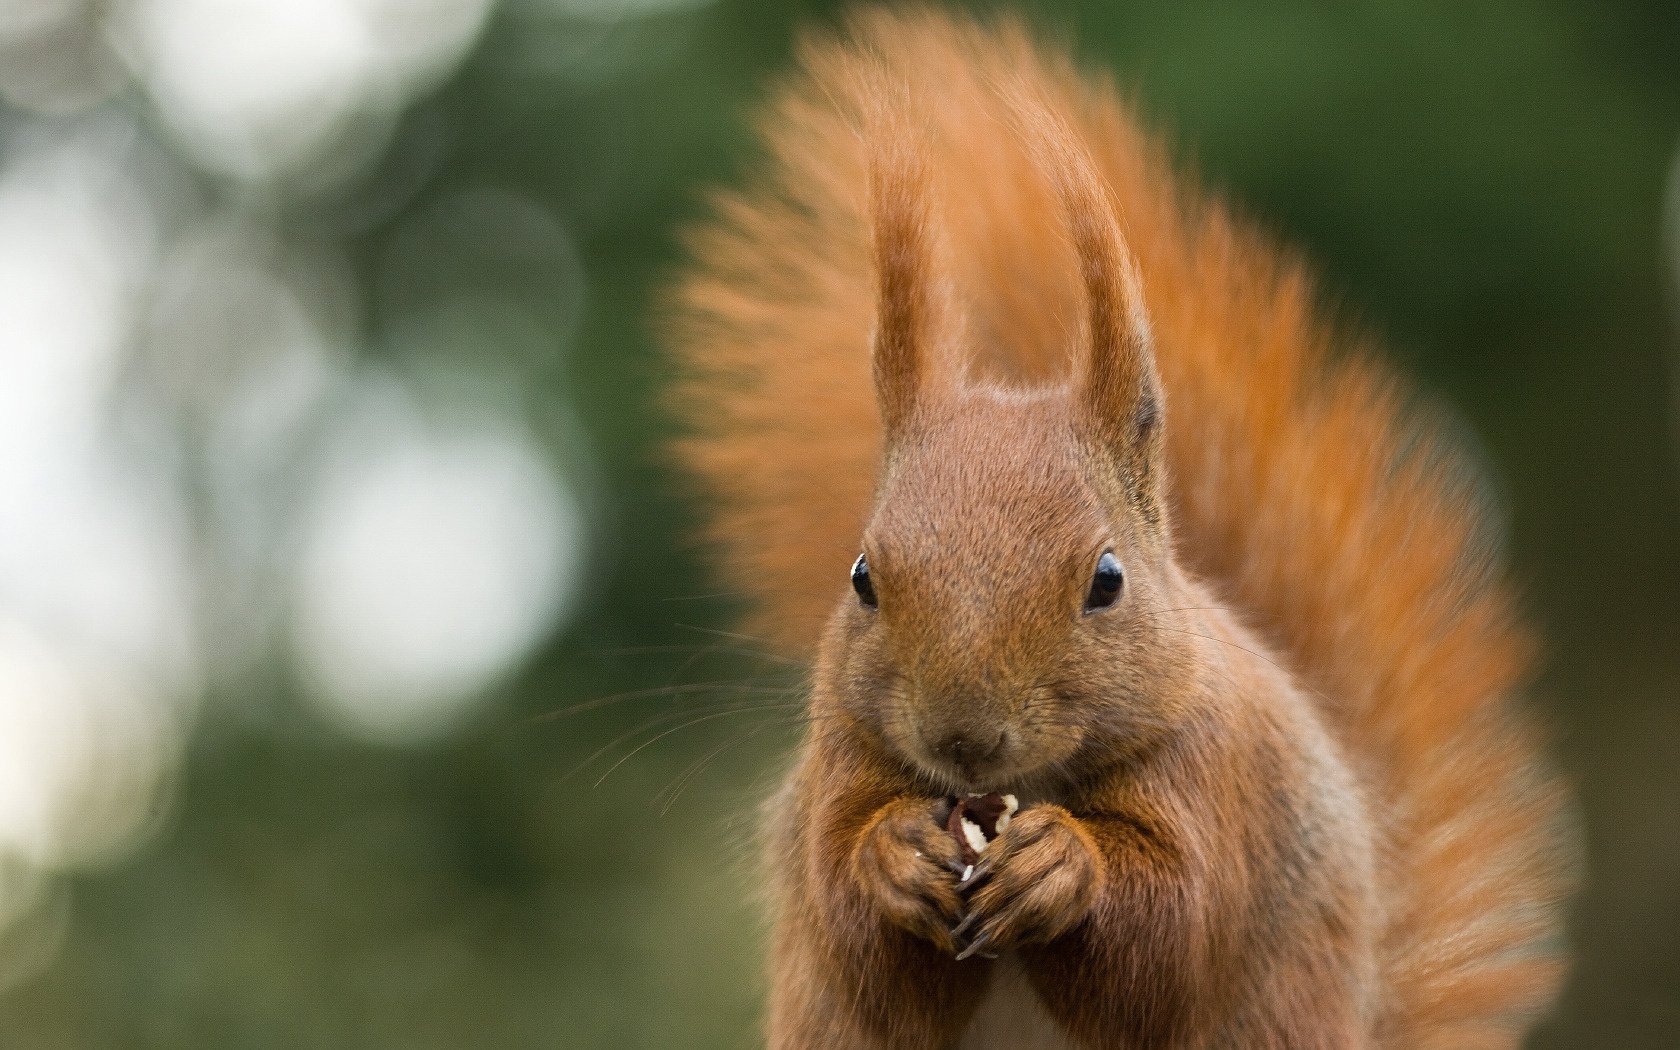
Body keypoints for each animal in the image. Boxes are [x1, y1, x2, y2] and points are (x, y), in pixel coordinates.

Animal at [666, 9, 1572, 1048]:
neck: (1024, 791)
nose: (961, 738)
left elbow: (1165, 942)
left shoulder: (1215, 776)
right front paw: (892, 857)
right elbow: (860, 943)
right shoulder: (843, 761)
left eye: (1107, 580)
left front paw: (1065, 868)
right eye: (862, 578)